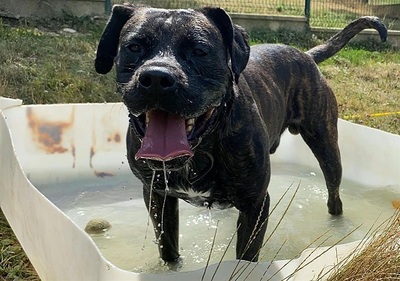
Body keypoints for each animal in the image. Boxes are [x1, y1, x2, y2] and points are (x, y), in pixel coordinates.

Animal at [94, 3, 388, 262]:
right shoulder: (157, 197)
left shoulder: (255, 204)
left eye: (200, 50)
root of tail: (306, 54)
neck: (201, 150)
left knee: (334, 194)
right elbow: (167, 248)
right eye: (133, 47)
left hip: (327, 148)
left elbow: (246, 255)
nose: (156, 77)